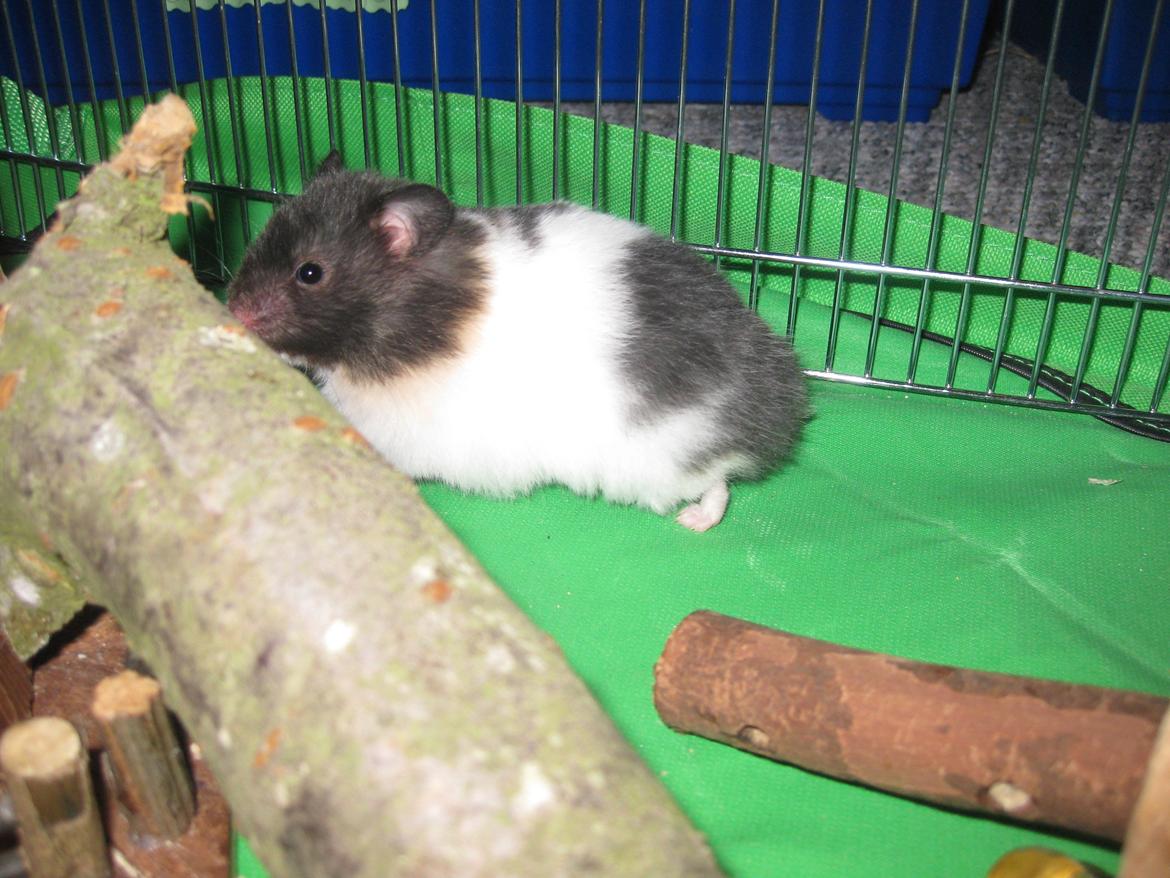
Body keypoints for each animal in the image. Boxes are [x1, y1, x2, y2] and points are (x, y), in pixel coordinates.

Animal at [227, 152, 807, 532]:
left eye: (309, 273)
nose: (232, 311)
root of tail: (781, 404)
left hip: (662, 458)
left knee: (721, 482)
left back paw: (694, 522)